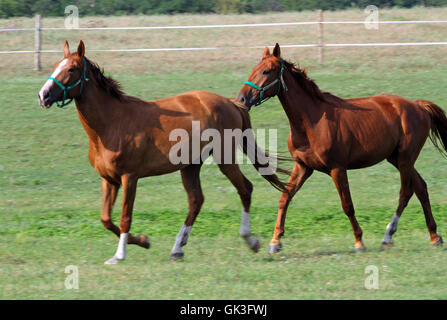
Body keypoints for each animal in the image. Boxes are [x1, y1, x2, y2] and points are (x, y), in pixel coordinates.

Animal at [236, 43, 446, 252]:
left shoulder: (337, 168)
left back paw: (388, 236)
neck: (311, 121)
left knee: (406, 192)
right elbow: (284, 199)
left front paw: (359, 242)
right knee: (421, 187)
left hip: (405, 159)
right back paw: (435, 236)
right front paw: (275, 242)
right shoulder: (302, 166)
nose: (242, 99)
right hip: (396, 158)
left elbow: (347, 205)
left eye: (266, 71)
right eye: (253, 69)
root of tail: (419, 106)